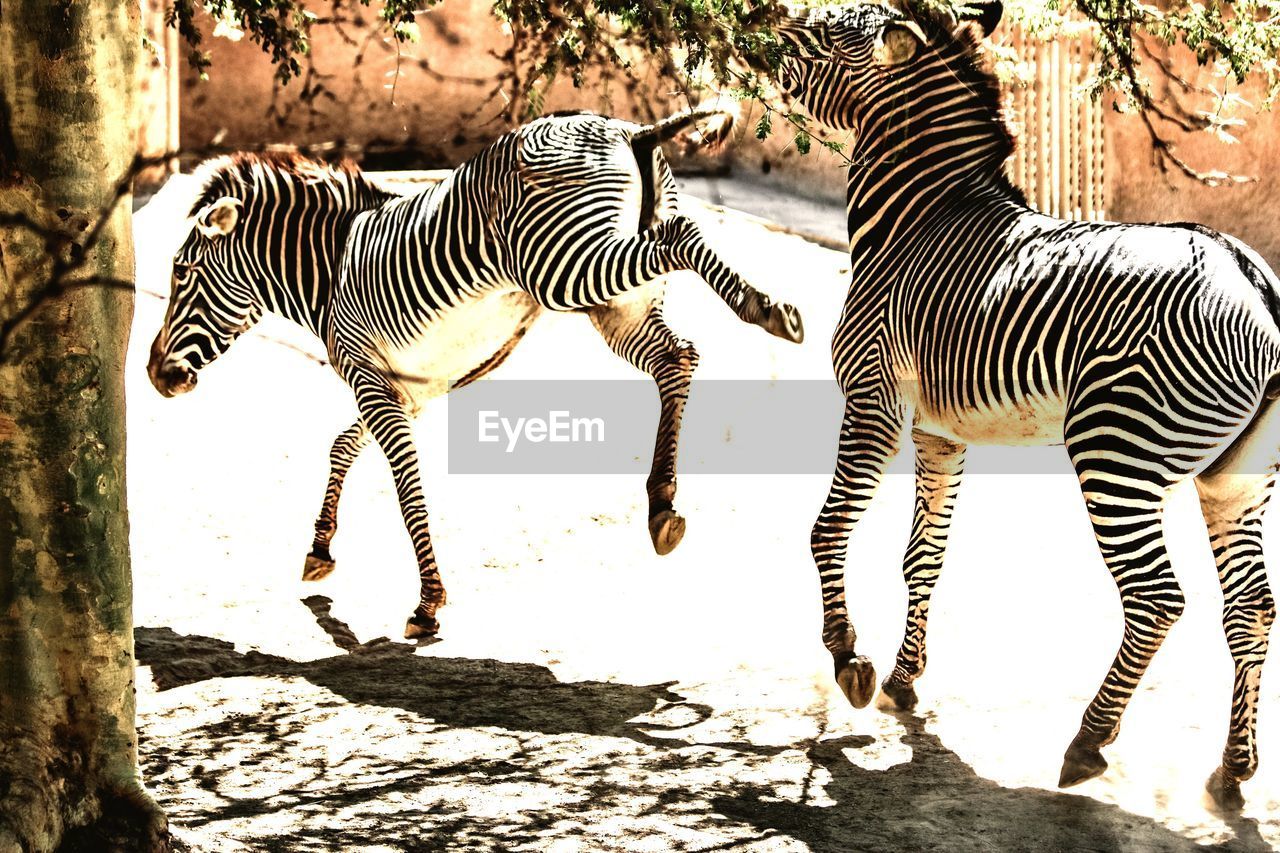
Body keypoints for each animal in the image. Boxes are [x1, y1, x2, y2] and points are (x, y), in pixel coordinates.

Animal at [147, 108, 798, 637]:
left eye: (181, 272)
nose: (155, 376)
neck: (330, 268)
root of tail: (627, 129)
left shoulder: (372, 382)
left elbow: (407, 488)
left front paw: (428, 602)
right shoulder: (404, 389)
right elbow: (342, 447)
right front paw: (320, 548)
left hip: (565, 266)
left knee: (679, 238)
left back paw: (765, 308)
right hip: (616, 304)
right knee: (678, 354)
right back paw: (661, 503)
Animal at [768, 0, 1280, 804]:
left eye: (824, 32)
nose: (757, 35)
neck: (915, 217)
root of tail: (1250, 276)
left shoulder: (873, 398)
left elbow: (828, 527)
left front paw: (851, 658)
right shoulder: (940, 432)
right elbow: (923, 556)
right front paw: (905, 680)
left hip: (1118, 452)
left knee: (1159, 598)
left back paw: (1088, 741)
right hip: (1234, 478)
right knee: (1252, 608)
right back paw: (1232, 769)